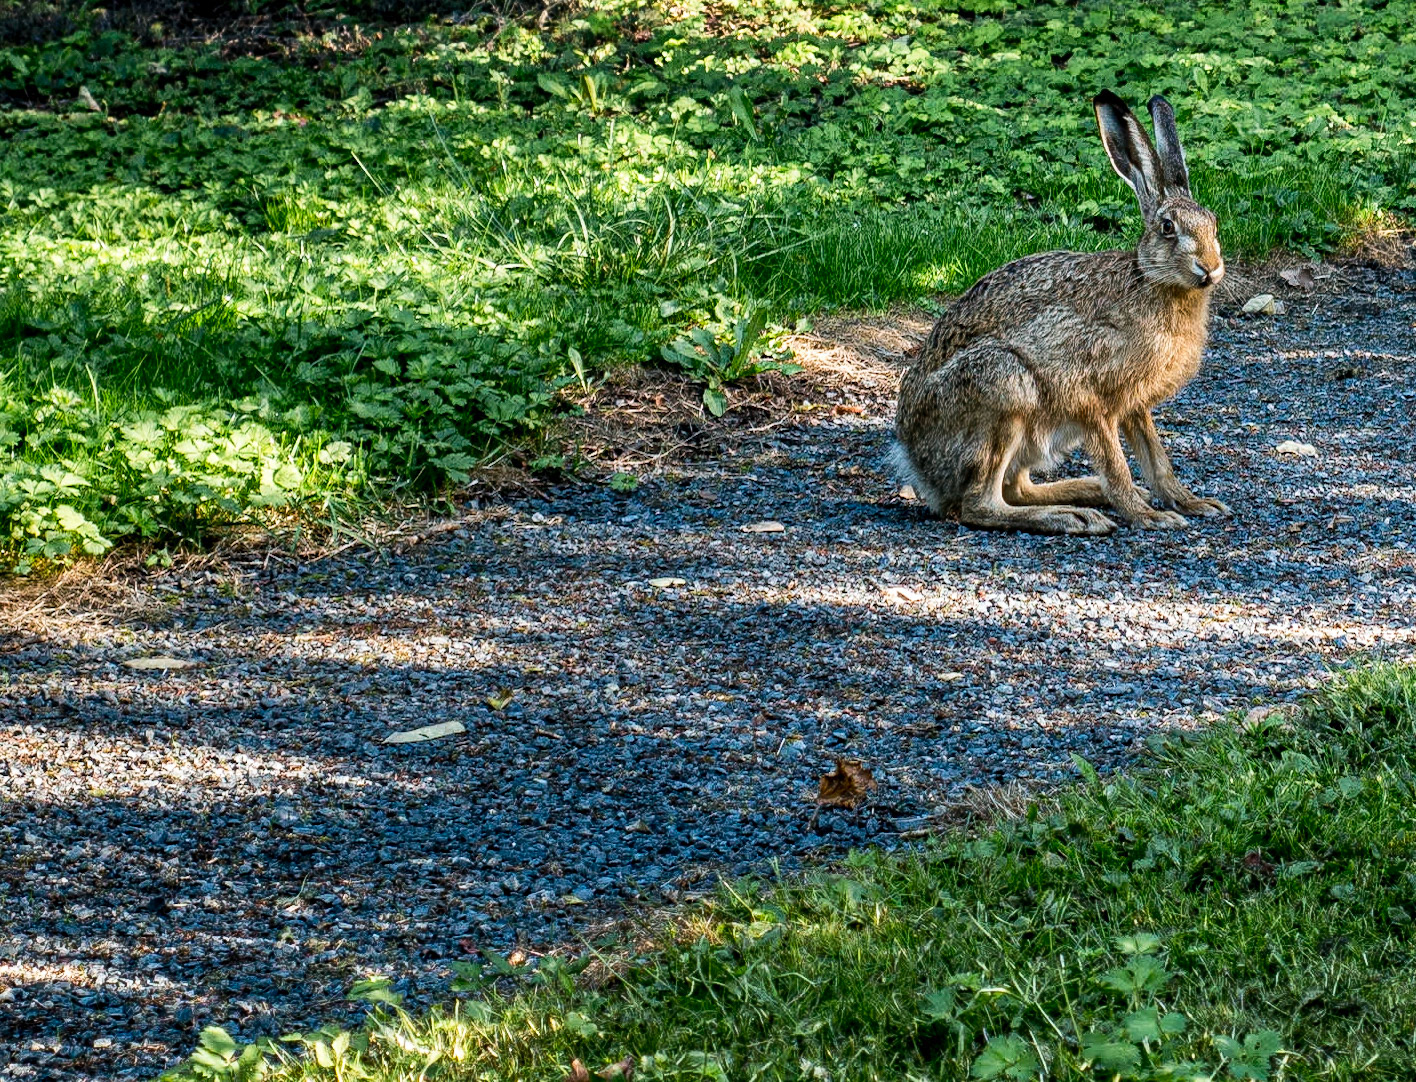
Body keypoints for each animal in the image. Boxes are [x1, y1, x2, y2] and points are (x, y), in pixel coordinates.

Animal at [892, 90, 1231, 536]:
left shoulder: (1134, 406)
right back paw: (1072, 516)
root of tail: (914, 457)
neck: (1152, 282)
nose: (1209, 267)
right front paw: (1149, 516)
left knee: (1016, 488)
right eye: (1167, 228)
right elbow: (1116, 464)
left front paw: (1193, 503)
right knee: (981, 505)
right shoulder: (1092, 399)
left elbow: (1157, 460)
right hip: (1004, 386)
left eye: (1214, 224)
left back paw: (1085, 495)